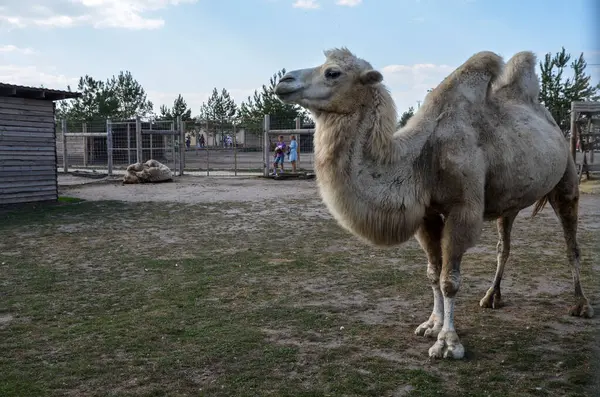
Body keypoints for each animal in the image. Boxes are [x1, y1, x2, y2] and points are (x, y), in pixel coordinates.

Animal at [274, 47, 592, 358]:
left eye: (333, 73)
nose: (283, 81)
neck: (420, 159)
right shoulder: (427, 215)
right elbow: (432, 273)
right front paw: (431, 324)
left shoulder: (462, 210)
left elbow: (449, 280)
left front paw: (448, 342)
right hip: (510, 202)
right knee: (504, 247)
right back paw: (492, 297)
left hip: (567, 179)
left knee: (571, 244)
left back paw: (581, 304)